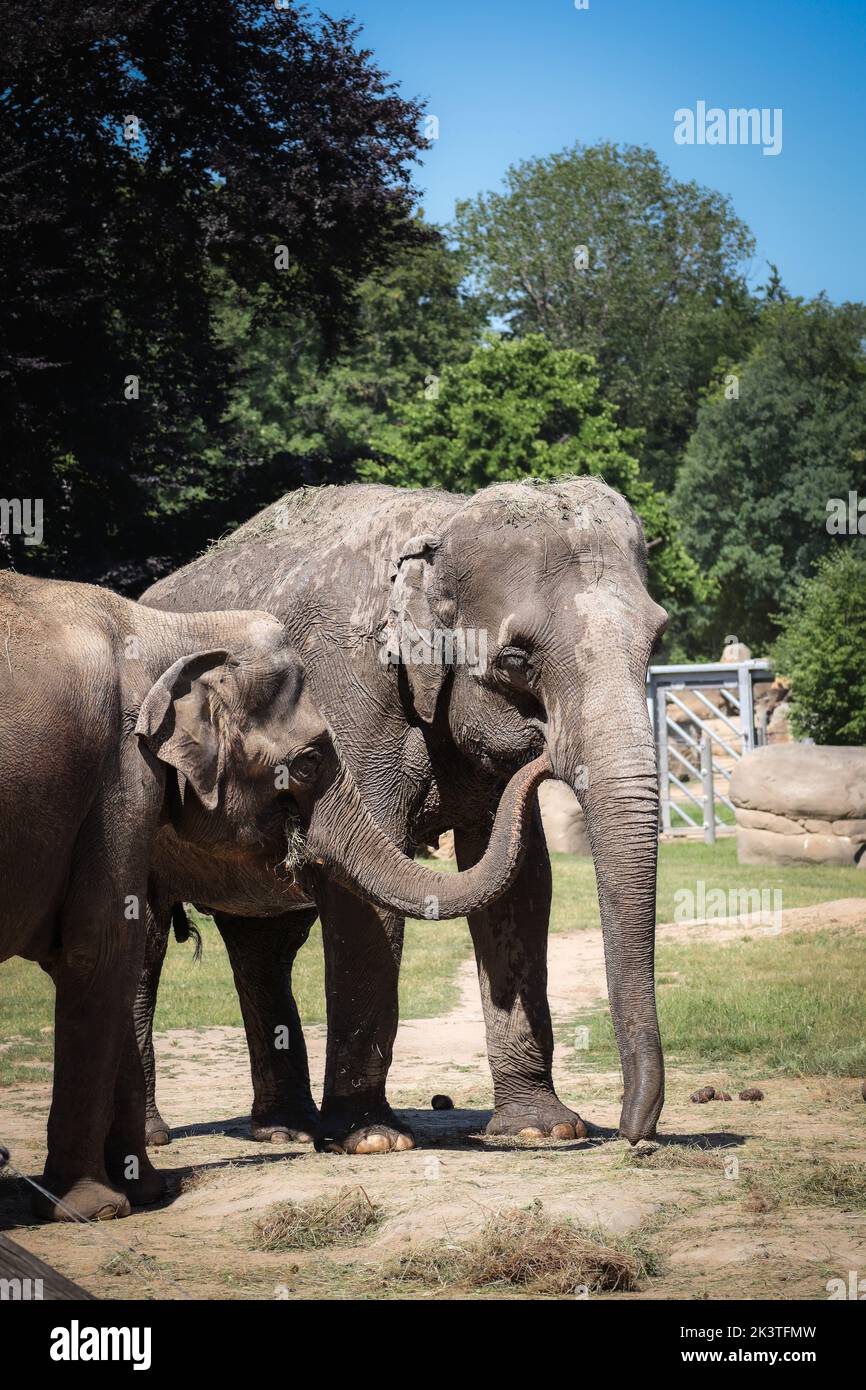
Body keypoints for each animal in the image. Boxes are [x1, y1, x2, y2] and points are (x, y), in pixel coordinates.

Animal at [0, 564, 553, 1217]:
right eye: (309, 761)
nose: (542, 745)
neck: (173, 630)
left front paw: (145, 1191)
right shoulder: (118, 774)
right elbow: (102, 948)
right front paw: (96, 1206)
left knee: (259, 948)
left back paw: (281, 1133)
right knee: (153, 949)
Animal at [139, 478, 667, 1150]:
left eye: (656, 640)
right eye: (517, 660)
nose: (634, 1134)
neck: (442, 523)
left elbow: (520, 882)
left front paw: (541, 1129)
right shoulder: (346, 698)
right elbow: (367, 887)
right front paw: (371, 1138)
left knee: (264, 945)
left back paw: (283, 1132)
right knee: (144, 938)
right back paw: (155, 1137)